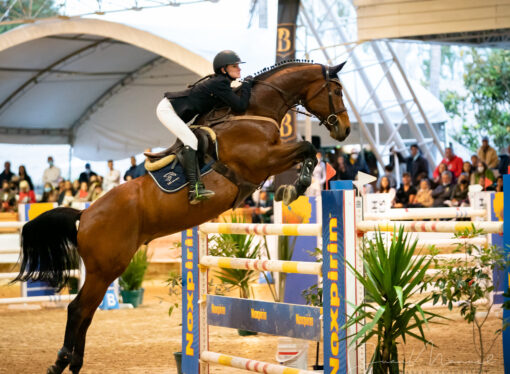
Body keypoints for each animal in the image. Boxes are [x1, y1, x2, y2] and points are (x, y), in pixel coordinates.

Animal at [14, 60, 350, 372]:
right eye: (336, 91)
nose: (344, 129)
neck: (252, 113)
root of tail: (84, 214)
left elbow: (307, 152)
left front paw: (294, 186)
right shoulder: (262, 160)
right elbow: (307, 147)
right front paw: (295, 188)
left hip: (105, 269)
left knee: (86, 311)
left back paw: (75, 362)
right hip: (105, 268)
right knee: (78, 310)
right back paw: (61, 361)